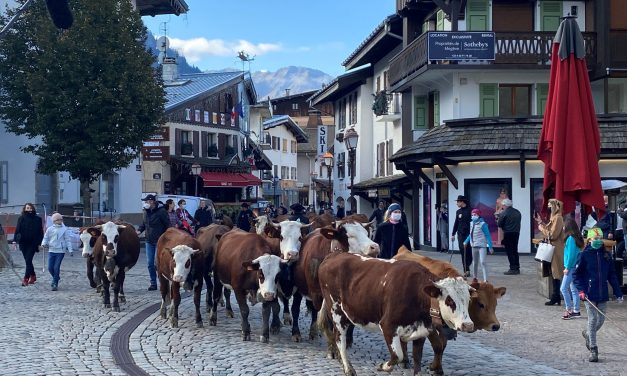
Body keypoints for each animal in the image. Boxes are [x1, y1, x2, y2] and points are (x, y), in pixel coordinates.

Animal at [318, 253, 476, 376]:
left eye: (469, 299)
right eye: (450, 300)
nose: (468, 325)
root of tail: (334, 255)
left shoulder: (421, 330)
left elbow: (417, 359)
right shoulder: (388, 325)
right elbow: (397, 355)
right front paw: (383, 366)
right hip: (336, 311)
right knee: (340, 339)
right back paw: (348, 368)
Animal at [394, 245, 508, 374]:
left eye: (495, 304)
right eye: (481, 304)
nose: (496, 326)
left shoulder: (446, 327)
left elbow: (442, 345)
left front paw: (435, 366)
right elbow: (438, 346)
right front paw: (437, 368)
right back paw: (404, 360)